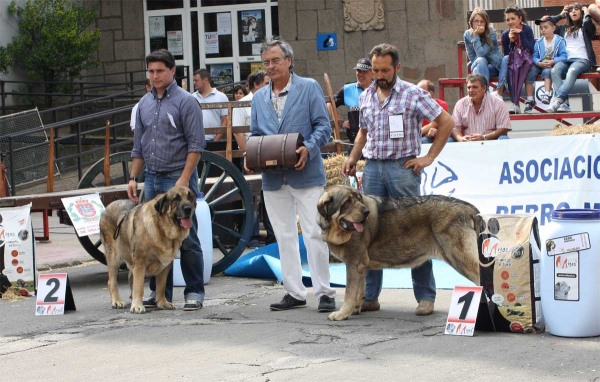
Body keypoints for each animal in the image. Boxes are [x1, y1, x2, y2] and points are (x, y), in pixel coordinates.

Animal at [99, 185, 196, 314]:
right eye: (176, 198)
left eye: (190, 197)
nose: (188, 209)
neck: (162, 229)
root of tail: (108, 206)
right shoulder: (140, 263)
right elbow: (139, 287)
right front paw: (137, 306)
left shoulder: (165, 266)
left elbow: (161, 287)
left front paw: (162, 303)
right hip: (114, 257)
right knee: (112, 281)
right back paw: (117, 301)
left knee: (130, 278)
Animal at [316, 185, 480, 322]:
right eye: (348, 202)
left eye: (358, 199)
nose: (366, 212)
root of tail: (469, 208)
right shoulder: (360, 267)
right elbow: (358, 290)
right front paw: (355, 309)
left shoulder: (353, 264)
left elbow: (349, 293)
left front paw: (342, 314)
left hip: (460, 259)